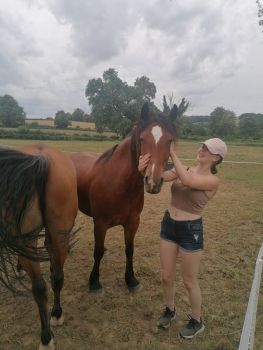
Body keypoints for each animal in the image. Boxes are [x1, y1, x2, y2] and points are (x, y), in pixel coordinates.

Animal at [0, 144, 78, 348]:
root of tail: (42, 157)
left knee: (42, 285)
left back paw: (47, 335)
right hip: (57, 234)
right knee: (52, 281)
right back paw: (54, 319)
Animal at [71, 102, 179, 292]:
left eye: (169, 140)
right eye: (142, 139)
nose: (153, 182)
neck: (118, 183)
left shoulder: (132, 222)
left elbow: (129, 250)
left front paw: (131, 279)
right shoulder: (100, 223)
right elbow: (98, 252)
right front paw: (94, 282)